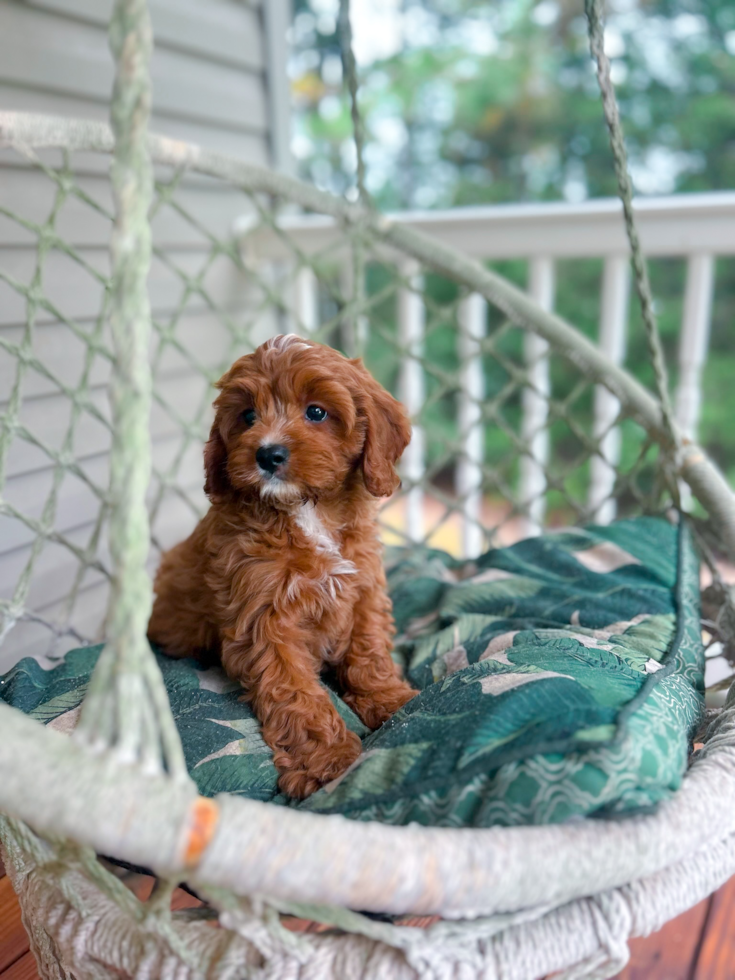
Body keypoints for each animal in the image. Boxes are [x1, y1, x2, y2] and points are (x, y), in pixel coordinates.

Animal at [147, 334, 416, 796]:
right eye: (247, 416)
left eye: (316, 412)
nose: (267, 454)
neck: (306, 510)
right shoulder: (264, 618)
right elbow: (296, 692)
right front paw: (326, 760)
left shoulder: (364, 586)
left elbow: (368, 650)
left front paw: (388, 698)